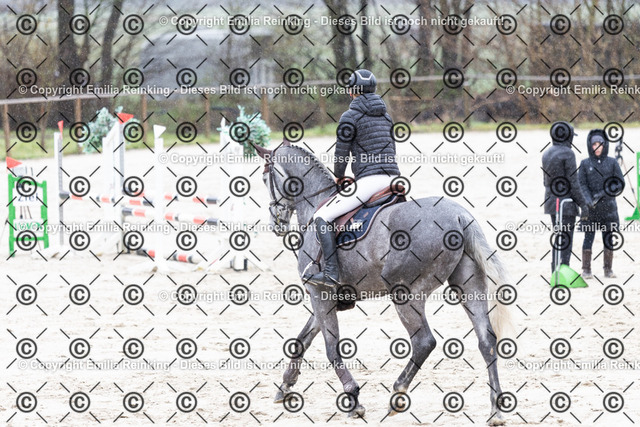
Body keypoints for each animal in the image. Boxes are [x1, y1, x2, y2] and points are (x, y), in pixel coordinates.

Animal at [255, 140, 513, 425]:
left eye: (265, 178)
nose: (275, 223)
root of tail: (460, 217)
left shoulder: (319, 292)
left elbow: (331, 348)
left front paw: (352, 399)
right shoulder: (325, 298)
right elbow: (302, 340)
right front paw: (285, 386)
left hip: (405, 294)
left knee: (424, 342)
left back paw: (397, 395)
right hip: (469, 286)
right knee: (486, 340)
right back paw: (496, 411)